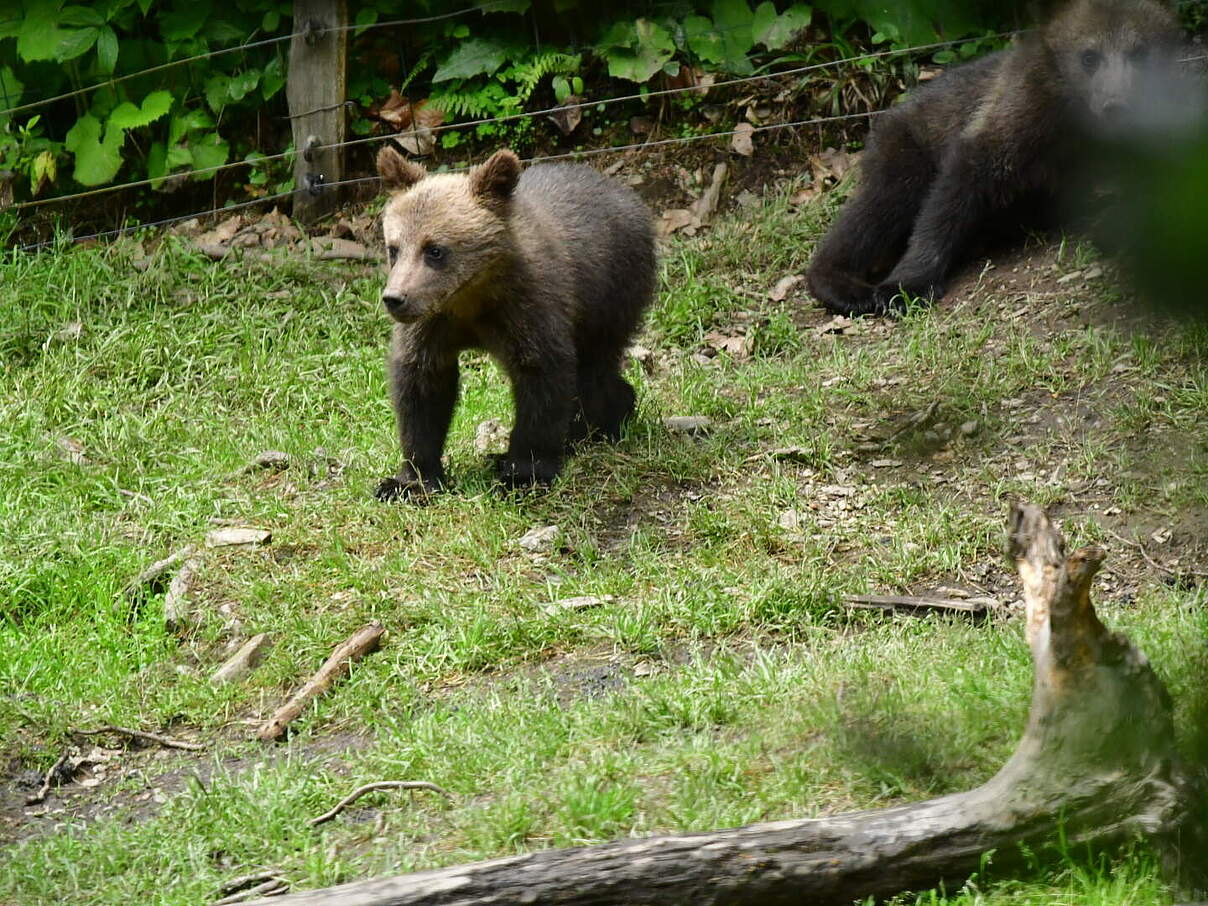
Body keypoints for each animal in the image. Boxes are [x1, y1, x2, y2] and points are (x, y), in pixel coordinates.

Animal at [376, 149, 657, 504]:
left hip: (610, 295)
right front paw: (410, 480)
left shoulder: (529, 311)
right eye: (394, 248)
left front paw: (523, 475)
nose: (395, 298)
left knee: (593, 371)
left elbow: (543, 382)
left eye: (435, 249)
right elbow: (422, 388)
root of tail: (627, 195)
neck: (472, 297)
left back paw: (598, 425)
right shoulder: (434, 325)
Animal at [802, 0, 1179, 316]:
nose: (1116, 105)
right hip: (907, 144)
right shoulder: (1016, 114)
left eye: (1139, 51)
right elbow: (960, 186)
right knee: (879, 207)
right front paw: (905, 286)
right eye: (1089, 56)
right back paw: (846, 286)